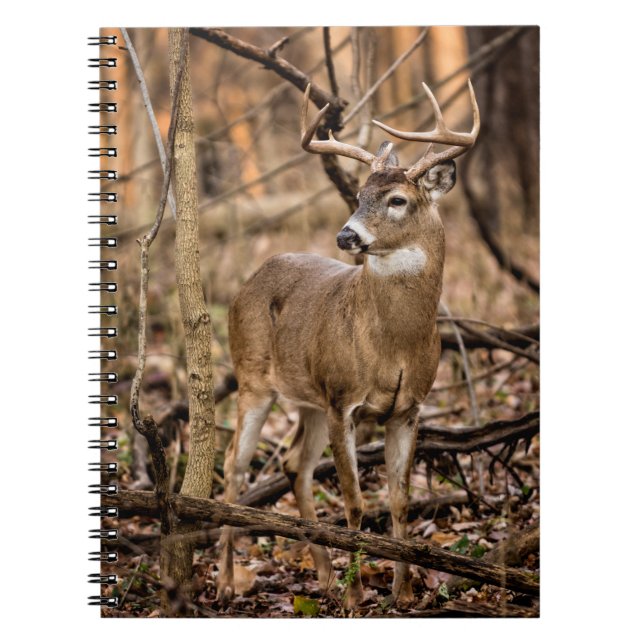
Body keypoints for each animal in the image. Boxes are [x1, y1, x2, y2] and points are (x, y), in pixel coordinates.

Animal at [216, 81, 479, 608]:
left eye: (397, 199)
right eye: (358, 195)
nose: (345, 234)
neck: (394, 346)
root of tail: (248, 282)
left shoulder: (409, 409)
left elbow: (399, 500)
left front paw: (403, 592)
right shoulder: (344, 401)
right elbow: (356, 503)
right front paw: (358, 596)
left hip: (310, 399)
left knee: (295, 465)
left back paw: (321, 577)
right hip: (253, 377)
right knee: (235, 467)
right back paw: (227, 584)